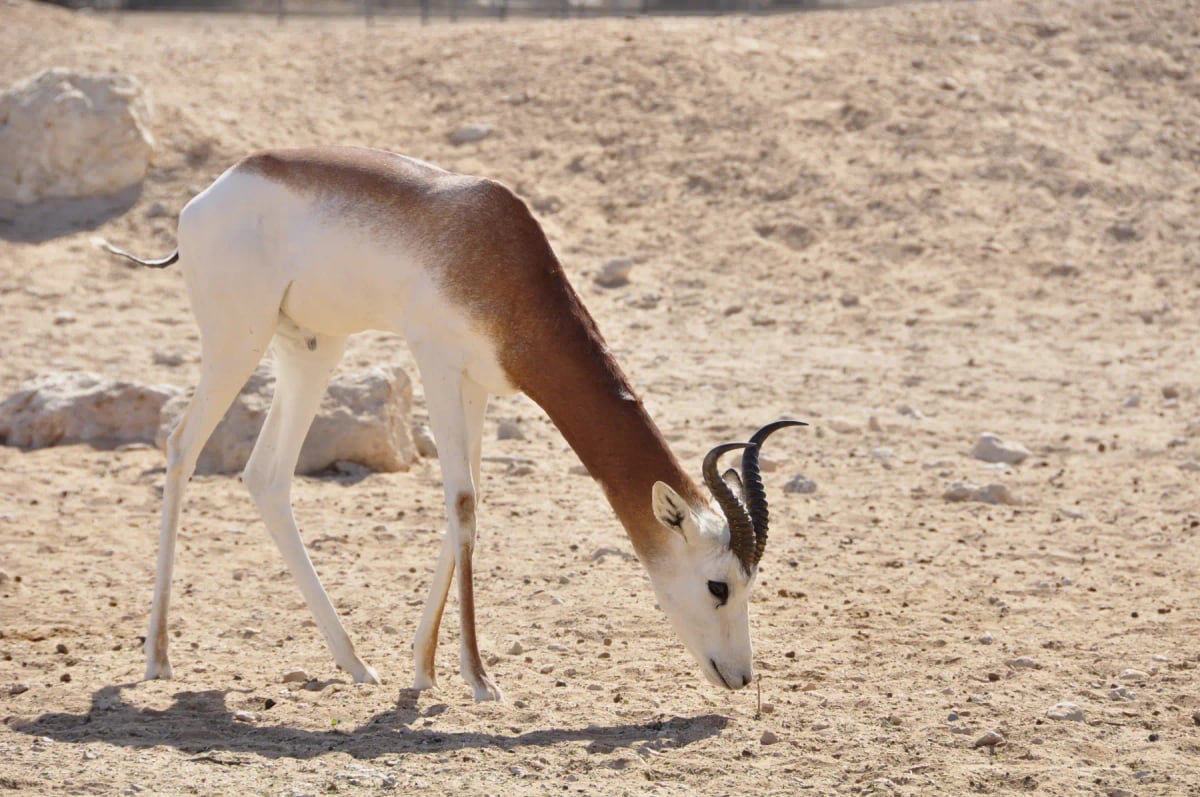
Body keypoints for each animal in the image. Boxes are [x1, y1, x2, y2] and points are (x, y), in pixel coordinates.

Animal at [101, 146, 803, 701]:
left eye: (751, 585)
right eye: (718, 586)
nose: (741, 677)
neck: (495, 254)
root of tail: (207, 195)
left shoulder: (478, 384)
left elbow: (468, 502)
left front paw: (424, 669)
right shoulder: (435, 361)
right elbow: (461, 502)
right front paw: (479, 678)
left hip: (311, 347)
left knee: (266, 476)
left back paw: (355, 662)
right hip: (236, 340)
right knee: (181, 447)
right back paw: (158, 658)